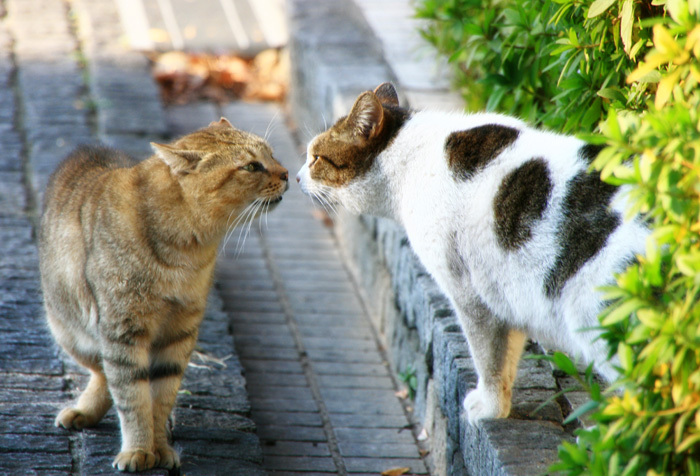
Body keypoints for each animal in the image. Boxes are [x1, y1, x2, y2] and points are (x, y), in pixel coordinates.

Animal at [39, 117, 288, 470]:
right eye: (252, 166)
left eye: (272, 154)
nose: (286, 172)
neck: (187, 250)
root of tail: (86, 148)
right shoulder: (123, 331)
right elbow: (133, 398)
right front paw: (139, 450)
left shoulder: (179, 333)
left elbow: (160, 398)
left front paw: (159, 448)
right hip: (69, 330)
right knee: (103, 372)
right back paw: (84, 410)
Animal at [296, 82, 652, 424]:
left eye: (316, 158)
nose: (297, 177)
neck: (408, 159)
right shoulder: (507, 295)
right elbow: (508, 356)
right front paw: (501, 406)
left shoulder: (470, 293)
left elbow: (488, 357)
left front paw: (488, 410)